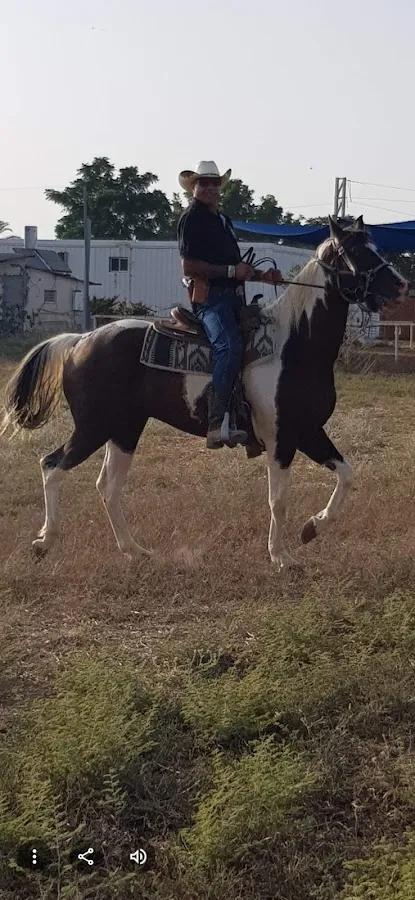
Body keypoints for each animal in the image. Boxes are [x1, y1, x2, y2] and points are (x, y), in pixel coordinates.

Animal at [1, 216, 408, 570]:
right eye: (358, 252)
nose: (401, 286)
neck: (294, 343)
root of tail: (80, 341)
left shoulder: (308, 431)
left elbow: (346, 475)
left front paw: (312, 528)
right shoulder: (282, 438)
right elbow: (278, 500)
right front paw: (281, 557)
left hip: (124, 429)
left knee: (109, 486)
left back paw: (134, 551)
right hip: (94, 427)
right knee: (52, 466)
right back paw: (45, 542)